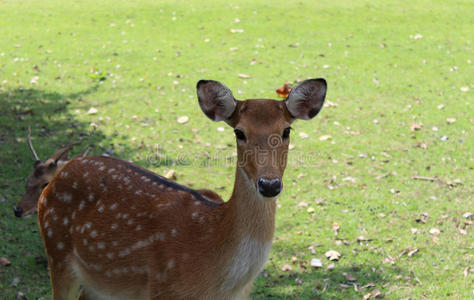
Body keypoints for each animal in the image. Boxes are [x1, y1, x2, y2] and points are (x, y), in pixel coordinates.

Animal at [37, 78, 328, 298]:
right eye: (239, 132)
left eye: (287, 130)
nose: (269, 184)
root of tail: (57, 176)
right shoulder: (163, 289)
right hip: (57, 251)